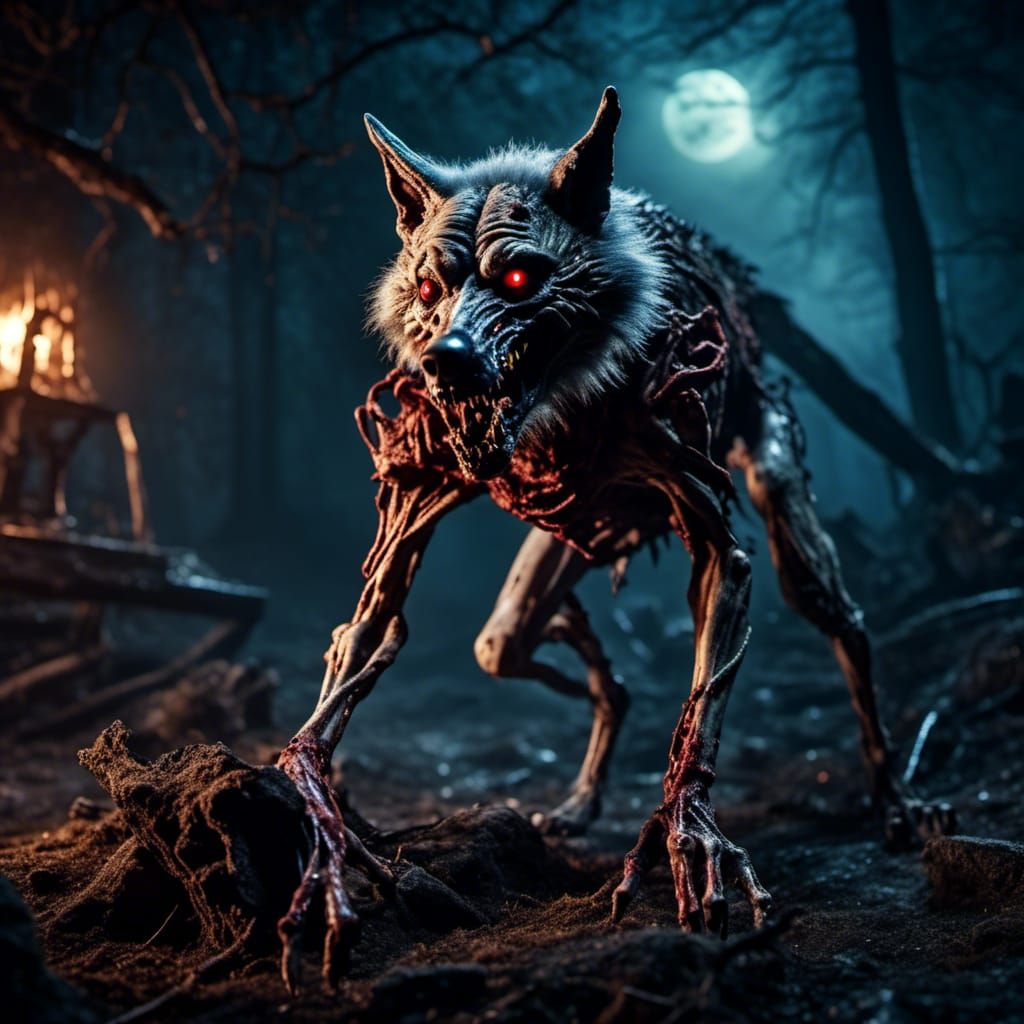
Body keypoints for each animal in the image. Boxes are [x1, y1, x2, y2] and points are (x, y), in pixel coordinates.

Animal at [274, 87, 955, 991]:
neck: (555, 412)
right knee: (515, 644)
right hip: (555, 558)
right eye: (428, 285)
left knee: (841, 620)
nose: (449, 360)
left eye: (519, 277)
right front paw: (319, 823)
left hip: (778, 494)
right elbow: (366, 630)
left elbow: (705, 690)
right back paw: (581, 789)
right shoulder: (419, 492)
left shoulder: (706, 516)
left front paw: (688, 838)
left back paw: (894, 801)